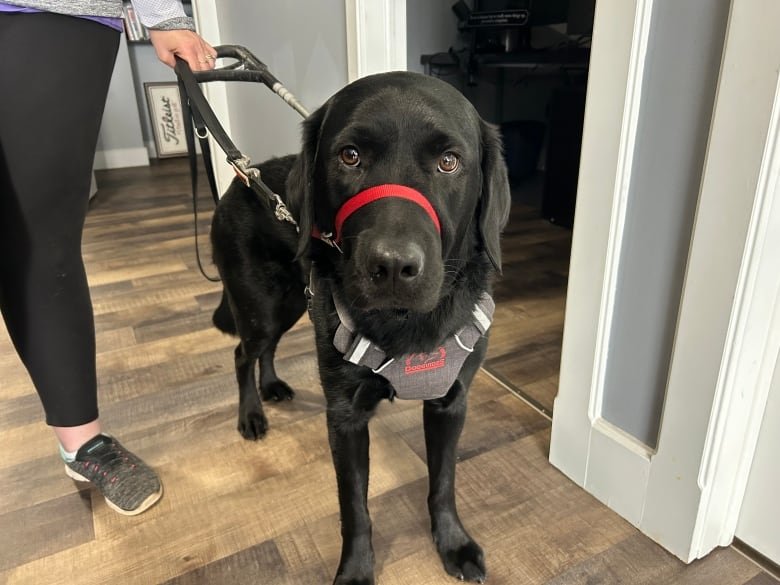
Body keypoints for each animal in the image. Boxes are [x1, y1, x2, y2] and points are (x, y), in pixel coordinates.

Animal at [210, 70, 512, 580]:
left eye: (449, 162)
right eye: (350, 156)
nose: (391, 266)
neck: (405, 325)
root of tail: (242, 178)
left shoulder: (451, 402)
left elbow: (443, 481)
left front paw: (453, 543)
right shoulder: (345, 417)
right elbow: (355, 508)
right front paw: (354, 570)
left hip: (292, 303)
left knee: (265, 351)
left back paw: (272, 387)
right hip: (261, 307)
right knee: (242, 353)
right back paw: (251, 413)